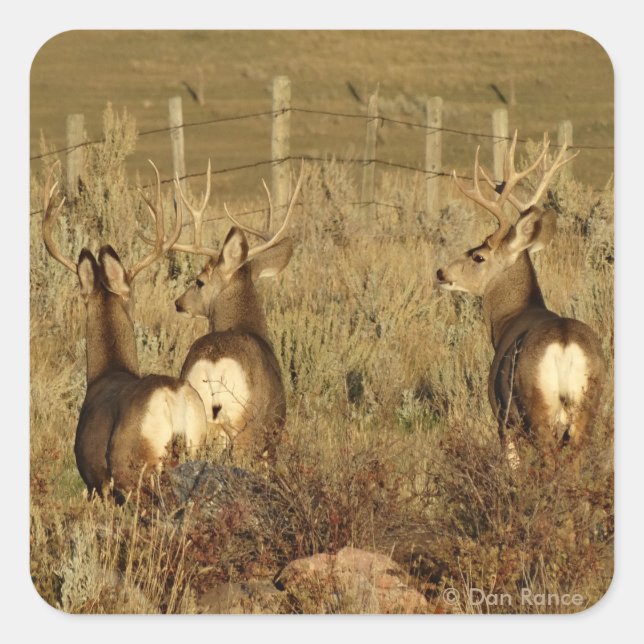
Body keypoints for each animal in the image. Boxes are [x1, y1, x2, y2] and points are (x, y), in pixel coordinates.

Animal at [435, 132, 604, 471]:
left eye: (478, 256)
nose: (441, 272)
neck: (510, 317)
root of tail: (565, 343)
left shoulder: (501, 416)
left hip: (536, 407)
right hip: (587, 407)